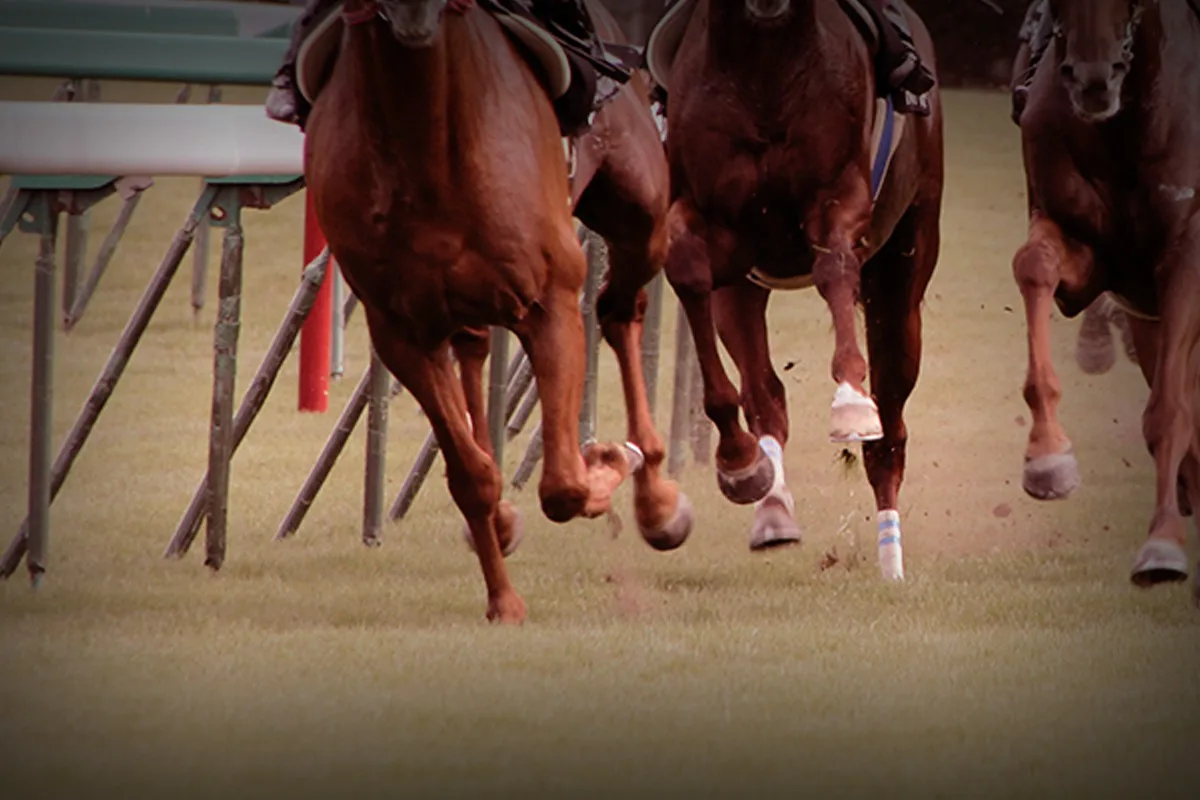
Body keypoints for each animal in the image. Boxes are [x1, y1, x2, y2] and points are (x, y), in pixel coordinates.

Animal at [303, 0, 693, 623]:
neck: (424, 144)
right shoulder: (400, 332)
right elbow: (471, 477)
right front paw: (503, 599)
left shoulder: (549, 299)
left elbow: (564, 484)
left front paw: (610, 459)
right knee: (475, 348)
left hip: (642, 215)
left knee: (618, 308)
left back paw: (656, 497)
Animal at [650, 0, 943, 580]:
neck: (767, 59)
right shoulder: (721, 231)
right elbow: (689, 268)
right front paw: (739, 463)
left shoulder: (839, 197)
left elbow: (834, 266)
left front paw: (849, 401)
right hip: (742, 293)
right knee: (766, 395)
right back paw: (772, 510)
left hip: (904, 271)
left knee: (889, 427)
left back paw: (890, 560)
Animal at [1011, 0, 1200, 599]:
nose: (1093, 80)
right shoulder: (1093, 255)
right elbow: (1034, 266)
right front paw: (1047, 457)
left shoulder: (1187, 252)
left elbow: (1170, 411)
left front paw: (1161, 544)